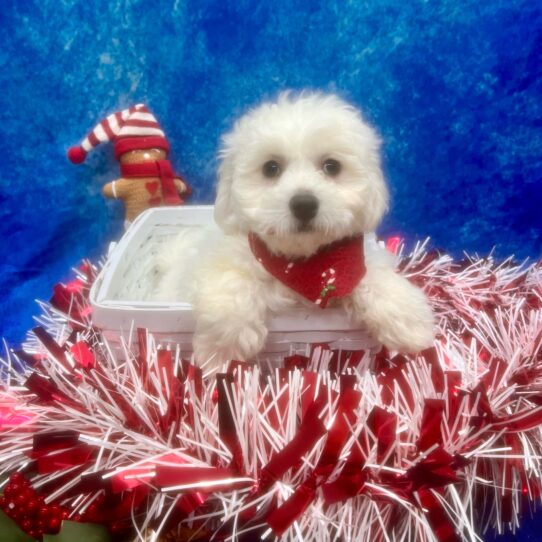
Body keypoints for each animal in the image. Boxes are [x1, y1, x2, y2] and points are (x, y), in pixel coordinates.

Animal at [156, 93, 434, 368]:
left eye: (331, 166)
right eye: (270, 168)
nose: (304, 204)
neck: (301, 264)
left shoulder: (354, 260)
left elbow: (372, 275)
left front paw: (411, 321)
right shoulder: (222, 260)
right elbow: (231, 287)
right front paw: (221, 353)